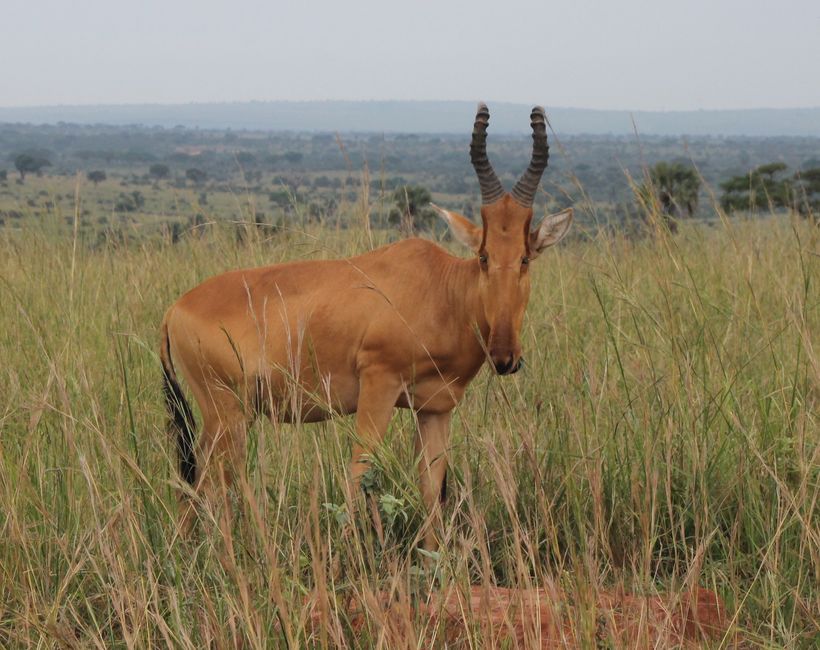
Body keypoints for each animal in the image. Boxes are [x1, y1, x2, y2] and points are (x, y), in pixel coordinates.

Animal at [159, 102, 572, 548]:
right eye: (483, 256)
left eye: (525, 257)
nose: (504, 356)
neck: (440, 288)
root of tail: (175, 309)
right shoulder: (379, 384)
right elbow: (359, 472)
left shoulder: (435, 408)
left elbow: (432, 487)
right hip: (227, 414)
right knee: (209, 484)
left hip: (223, 418)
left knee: (196, 484)